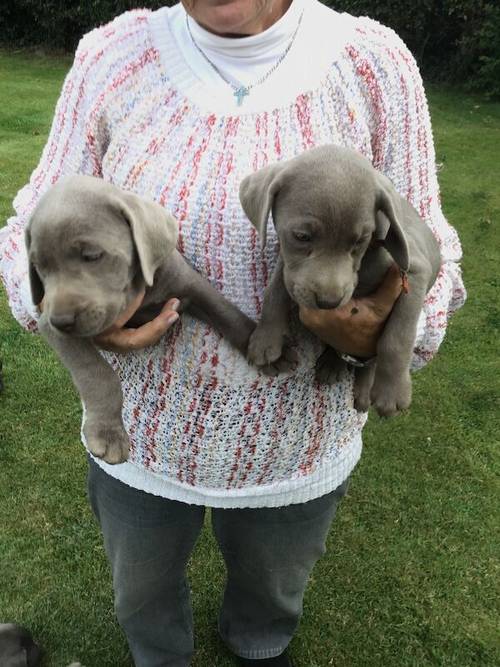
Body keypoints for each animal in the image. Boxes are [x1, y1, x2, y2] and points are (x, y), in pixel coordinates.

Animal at [26, 175, 254, 462]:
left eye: (91, 255)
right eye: (39, 267)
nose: (62, 321)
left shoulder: (187, 282)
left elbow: (224, 310)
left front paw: (263, 345)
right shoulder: (50, 325)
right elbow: (96, 374)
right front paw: (107, 434)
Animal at [240, 146, 440, 418]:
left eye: (360, 241)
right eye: (302, 236)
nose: (329, 302)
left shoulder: (414, 271)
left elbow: (397, 337)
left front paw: (391, 391)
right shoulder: (291, 268)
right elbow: (275, 290)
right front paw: (266, 339)